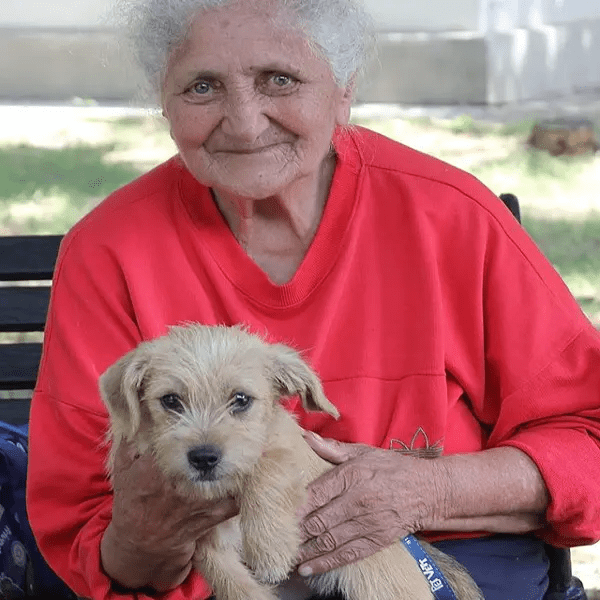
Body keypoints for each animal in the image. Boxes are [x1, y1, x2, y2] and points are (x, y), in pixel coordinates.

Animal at [99, 326, 482, 600]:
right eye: (170, 401)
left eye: (241, 400)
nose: (204, 457)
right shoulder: (208, 546)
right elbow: (237, 587)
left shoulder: (289, 449)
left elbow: (266, 467)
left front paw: (270, 547)